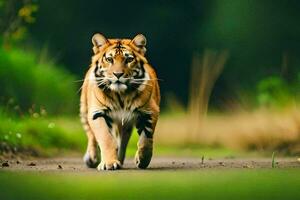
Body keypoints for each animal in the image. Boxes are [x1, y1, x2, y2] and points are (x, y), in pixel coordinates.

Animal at [79, 33, 159, 170]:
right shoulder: (97, 113)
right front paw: (109, 163)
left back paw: (120, 160)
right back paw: (92, 158)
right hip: (84, 111)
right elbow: (105, 138)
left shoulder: (150, 111)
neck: (120, 96)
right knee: (91, 135)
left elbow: (146, 139)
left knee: (122, 142)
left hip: (125, 126)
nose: (118, 74)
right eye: (109, 59)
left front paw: (142, 160)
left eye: (129, 60)